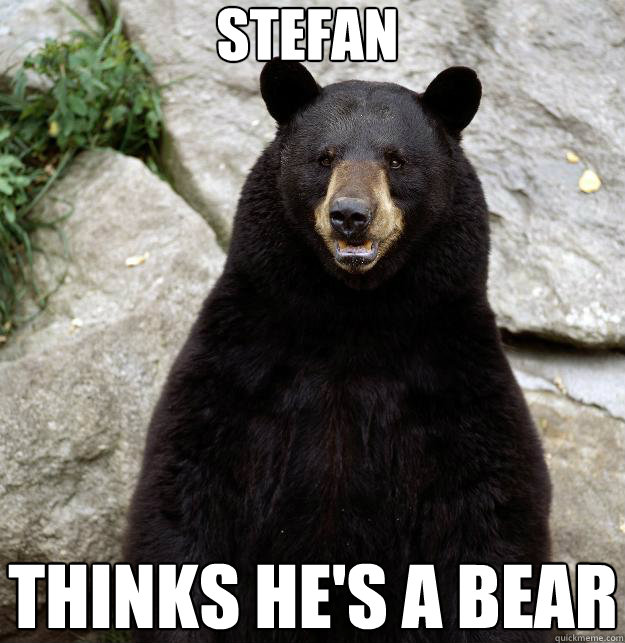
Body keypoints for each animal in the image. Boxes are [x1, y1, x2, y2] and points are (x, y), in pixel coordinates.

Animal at [125, 59, 552, 642]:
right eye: (325, 157)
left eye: (395, 159)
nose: (351, 215)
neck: (353, 317)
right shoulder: (244, 356)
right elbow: (189, 480)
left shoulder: (452, 368)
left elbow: (490, 503)